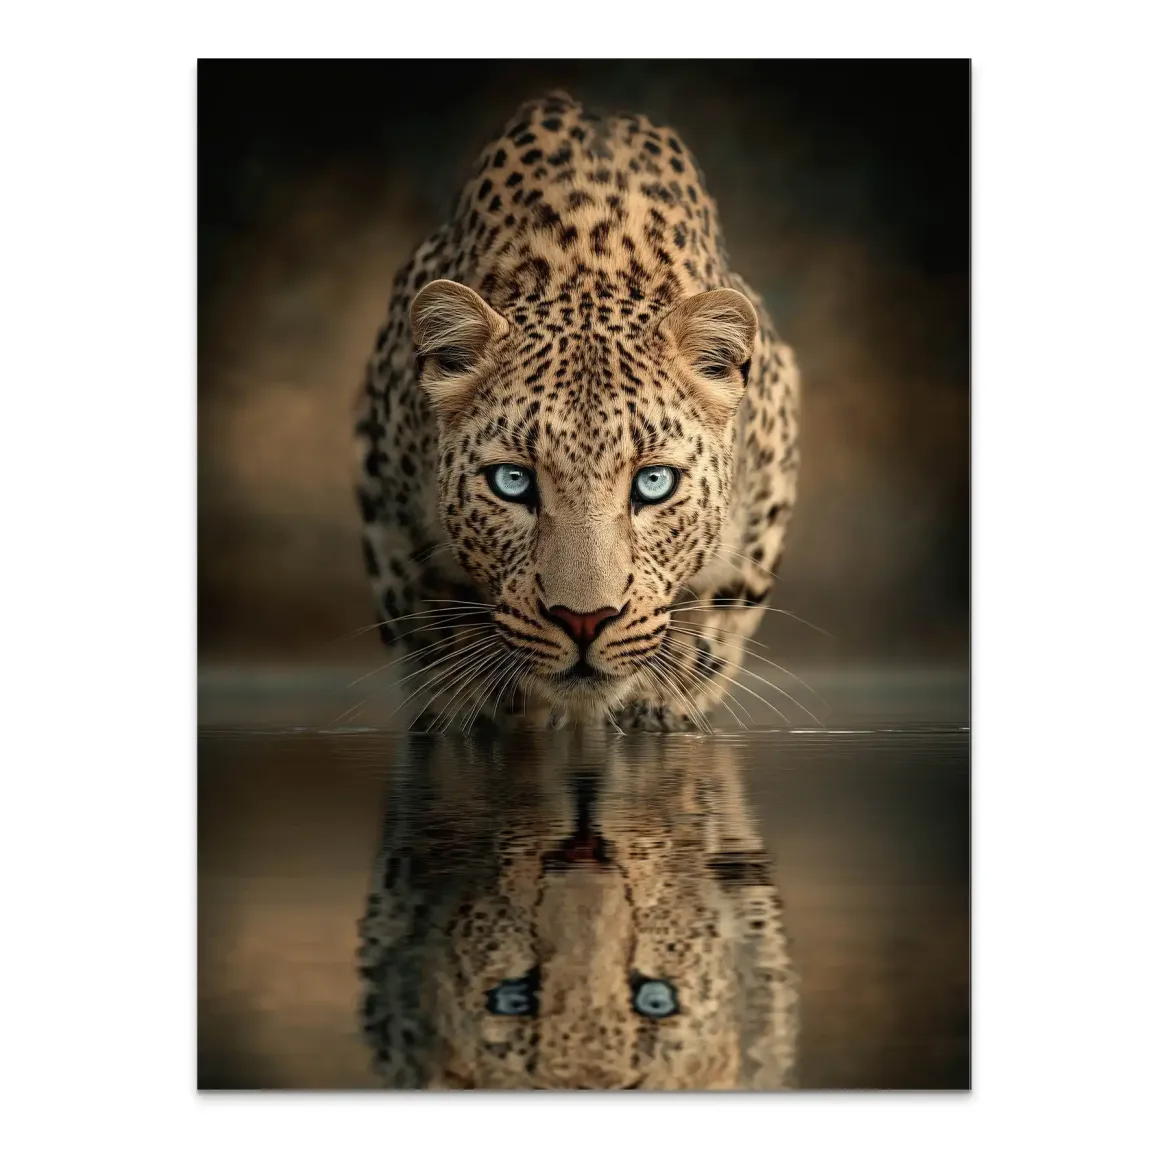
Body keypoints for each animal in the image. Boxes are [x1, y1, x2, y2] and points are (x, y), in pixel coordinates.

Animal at [354, 90, 800, 731]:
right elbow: (434, 634)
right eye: (512, 482)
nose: (584, 620)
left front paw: (657, 704)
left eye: (655, 483)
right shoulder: (389, 516)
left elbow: (712, 625)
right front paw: (481, 709)